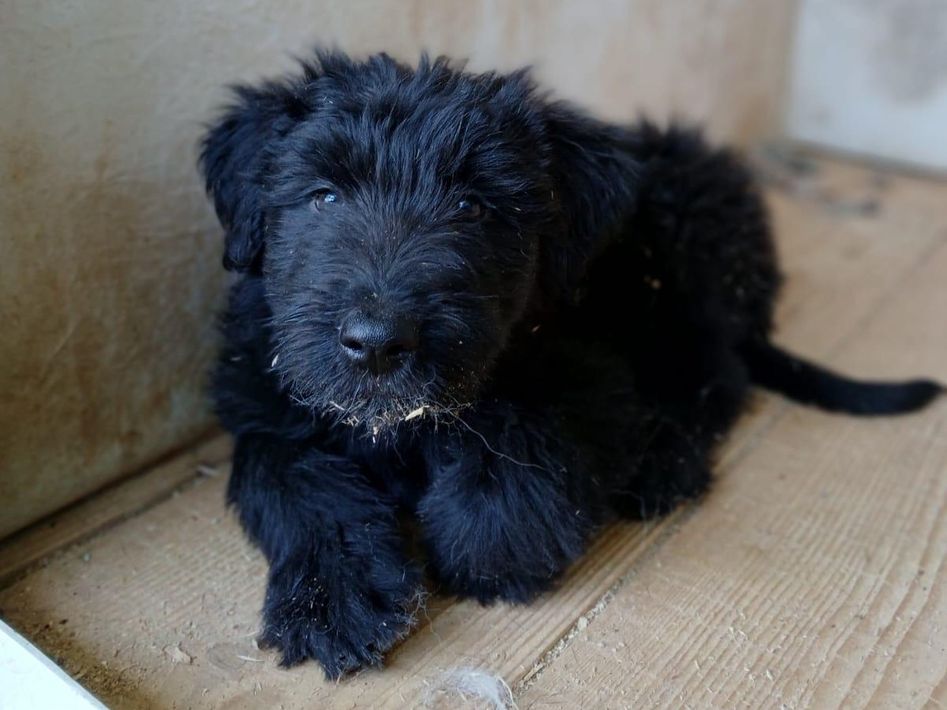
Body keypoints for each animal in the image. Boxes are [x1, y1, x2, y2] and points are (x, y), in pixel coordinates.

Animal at [199, 51, 942, 679]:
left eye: (472, 205)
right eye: (324, 195)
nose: (378, 342)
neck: (395, 427)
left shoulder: (590, 375)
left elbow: (519, 438)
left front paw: (488, 545)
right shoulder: (260, 408)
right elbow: (297, 483)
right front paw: (336, 599)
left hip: (684, 244)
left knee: (714, 374)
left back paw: (664, 464)